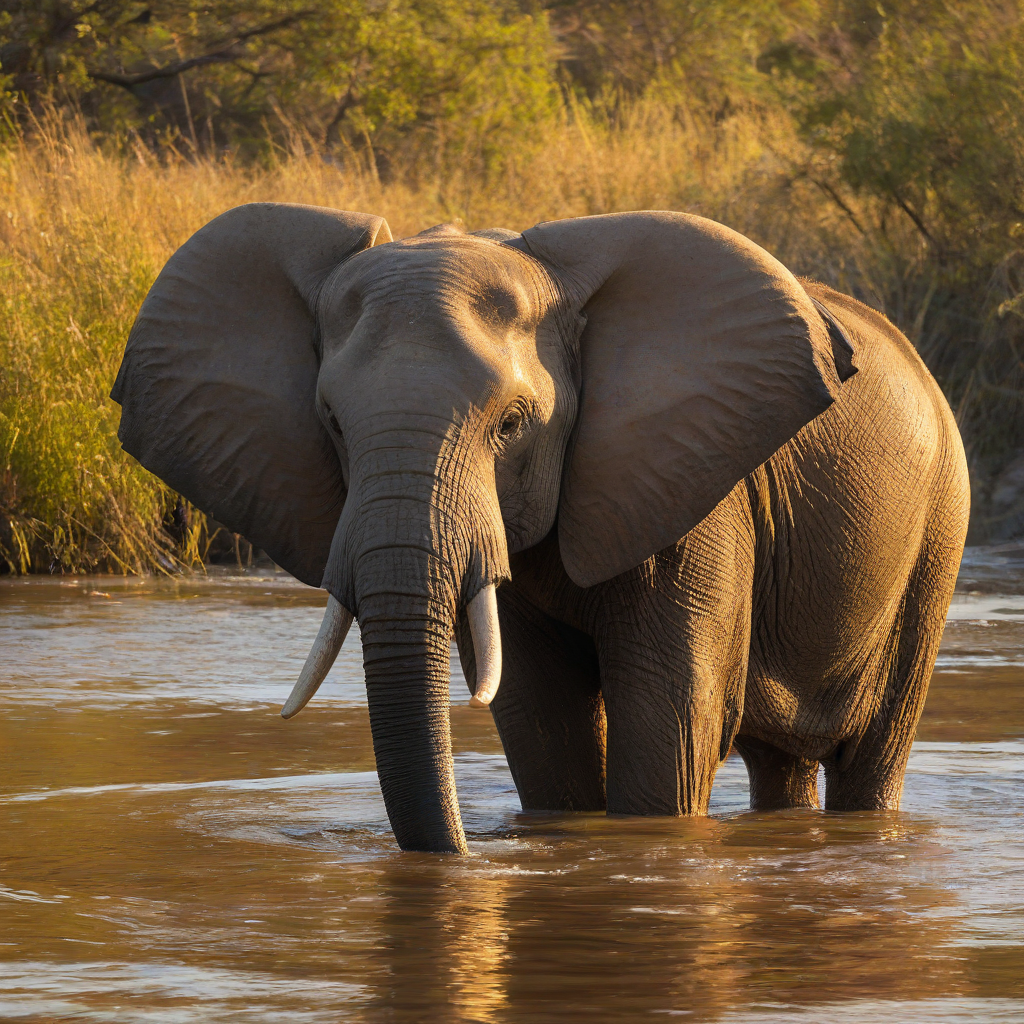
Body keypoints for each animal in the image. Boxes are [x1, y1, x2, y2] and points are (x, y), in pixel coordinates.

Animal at [111, 204, 970, 853]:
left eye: (512, 425)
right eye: (331, 423)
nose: (461, 854)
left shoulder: (702, 496)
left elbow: (673, 721)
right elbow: (540, 716)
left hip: (939, 532)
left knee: (871, 751)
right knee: (780, 764)